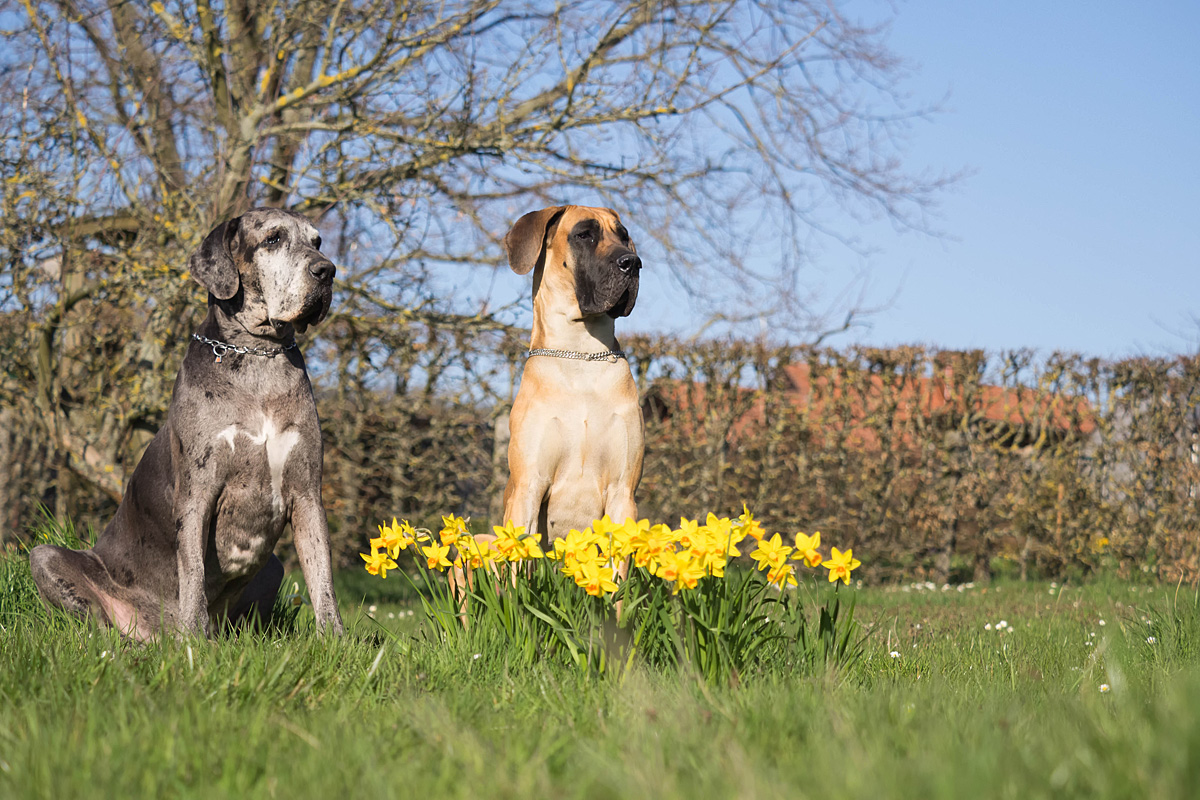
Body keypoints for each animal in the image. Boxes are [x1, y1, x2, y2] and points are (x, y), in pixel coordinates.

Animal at [29, 209, 348, 642]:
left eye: (317, 242)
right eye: (273, 239)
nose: (326, 270)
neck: (258, 356)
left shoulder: (307, 494)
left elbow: (323, 578)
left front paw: (337, 642)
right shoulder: (198, 492)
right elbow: (192, 569)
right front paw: (196, 642)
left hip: (274, 567)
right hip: (46, 557)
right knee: (98, 622)